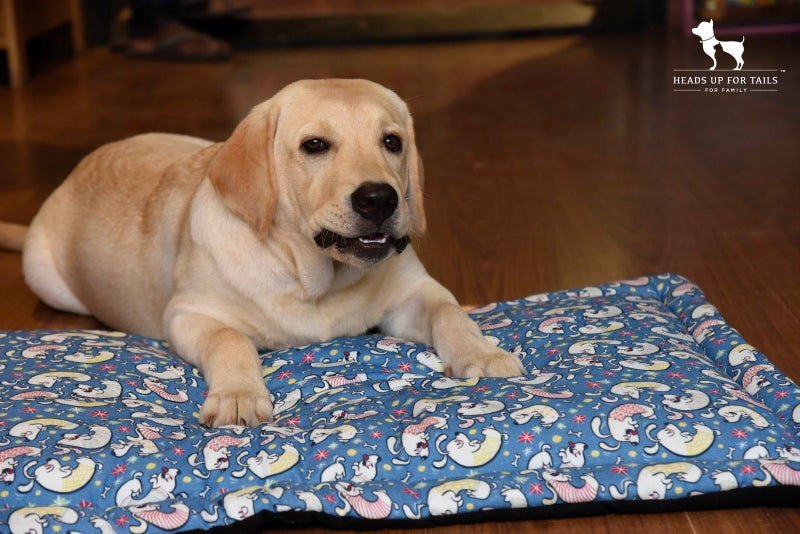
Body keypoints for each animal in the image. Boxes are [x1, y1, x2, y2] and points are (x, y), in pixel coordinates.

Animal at [1, 79, 524, 430]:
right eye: (314, 145)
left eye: (392, 142)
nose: (380, 199)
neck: (312, 277)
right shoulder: (188, 315)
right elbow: (230, 339)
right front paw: (238, 395)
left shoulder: (415, 294)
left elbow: (449, 312)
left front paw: (483, 352)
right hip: (50, 281)